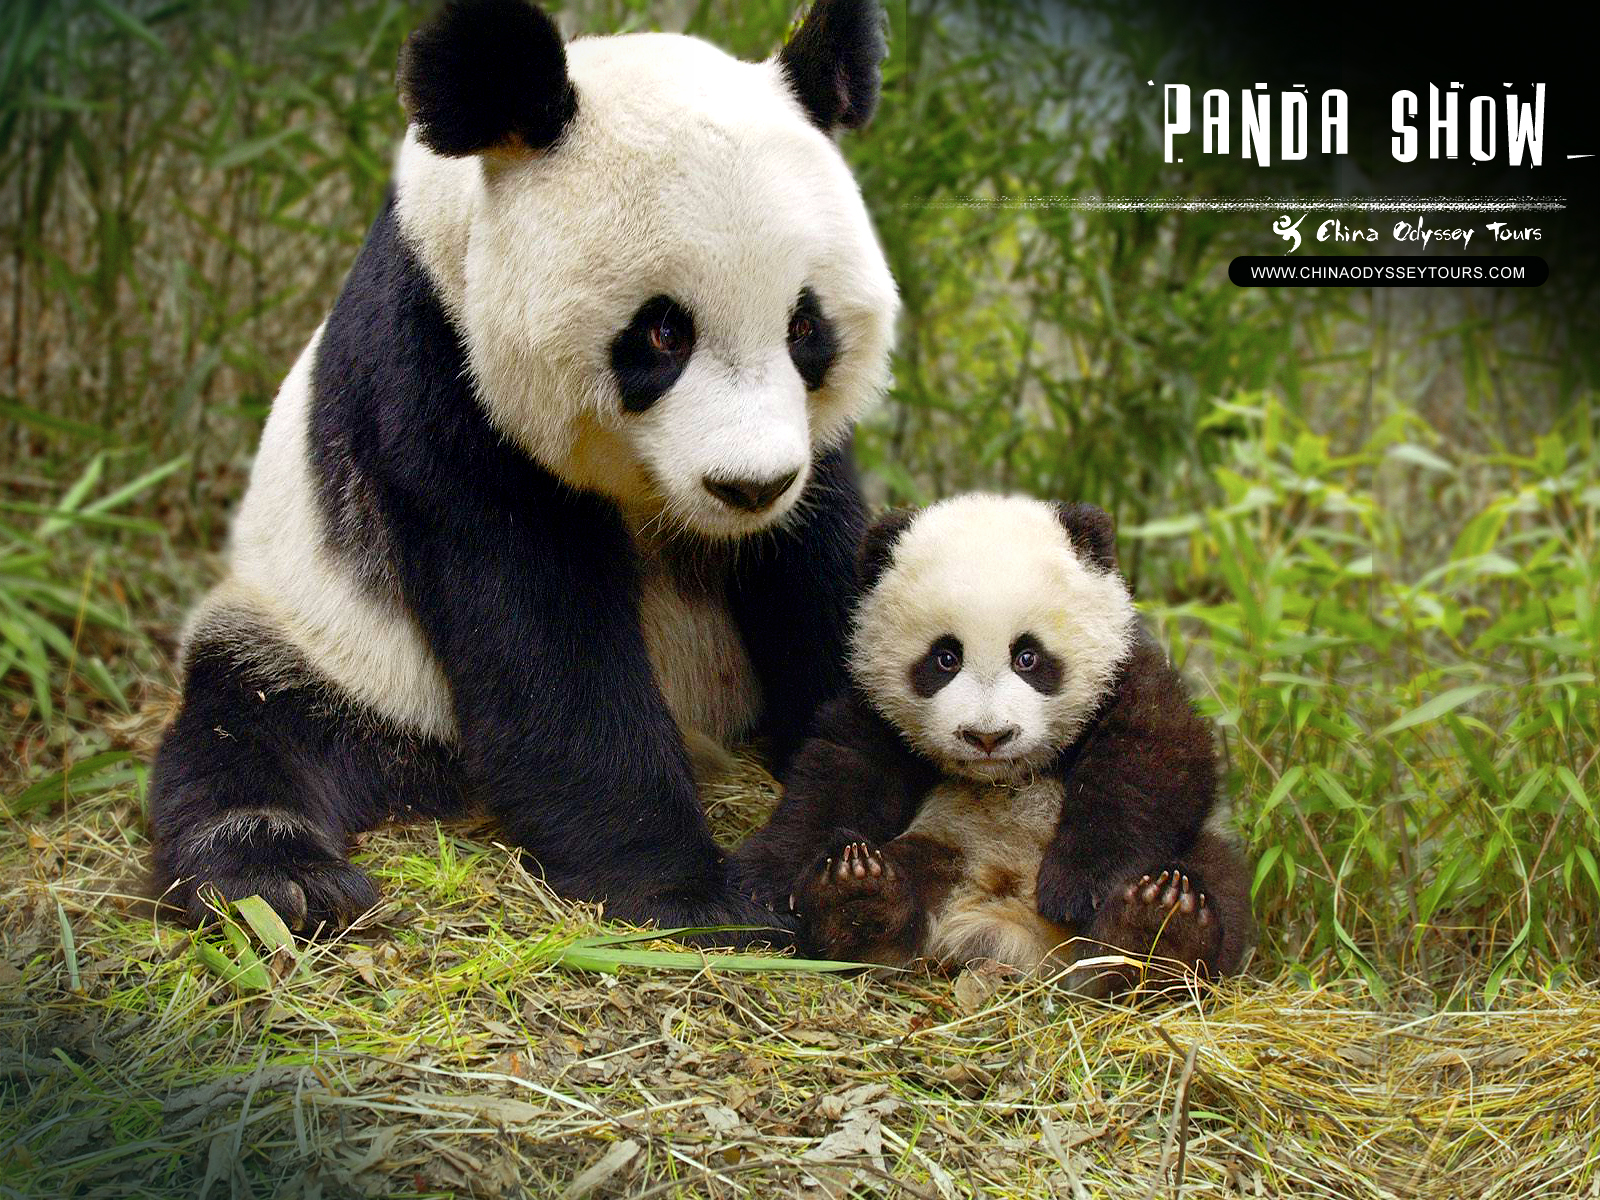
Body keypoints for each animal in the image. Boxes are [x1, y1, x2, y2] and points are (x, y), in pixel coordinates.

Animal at [146, 0, 899, 938]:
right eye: (663, 331)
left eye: (805, 327)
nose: (749, 487)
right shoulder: (439, 370)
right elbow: (538, 632)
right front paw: (697, 896)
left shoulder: (811, 455)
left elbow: (823, 575)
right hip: (332, 641)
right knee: (248, 723)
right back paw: (281, 879)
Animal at [733, 494, 1255, 992]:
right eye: (945, 658)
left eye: (1028, 656)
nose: (987, 736)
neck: (1005, 777)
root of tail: (1009, 930)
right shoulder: (876, 709)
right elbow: (839, 774)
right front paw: (763, 879)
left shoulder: (1126, 671)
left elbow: (1153, 760)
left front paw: (1077, 887)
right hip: (944, 846)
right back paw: (856, 897)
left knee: (1216, 876)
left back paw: (1160, 928)